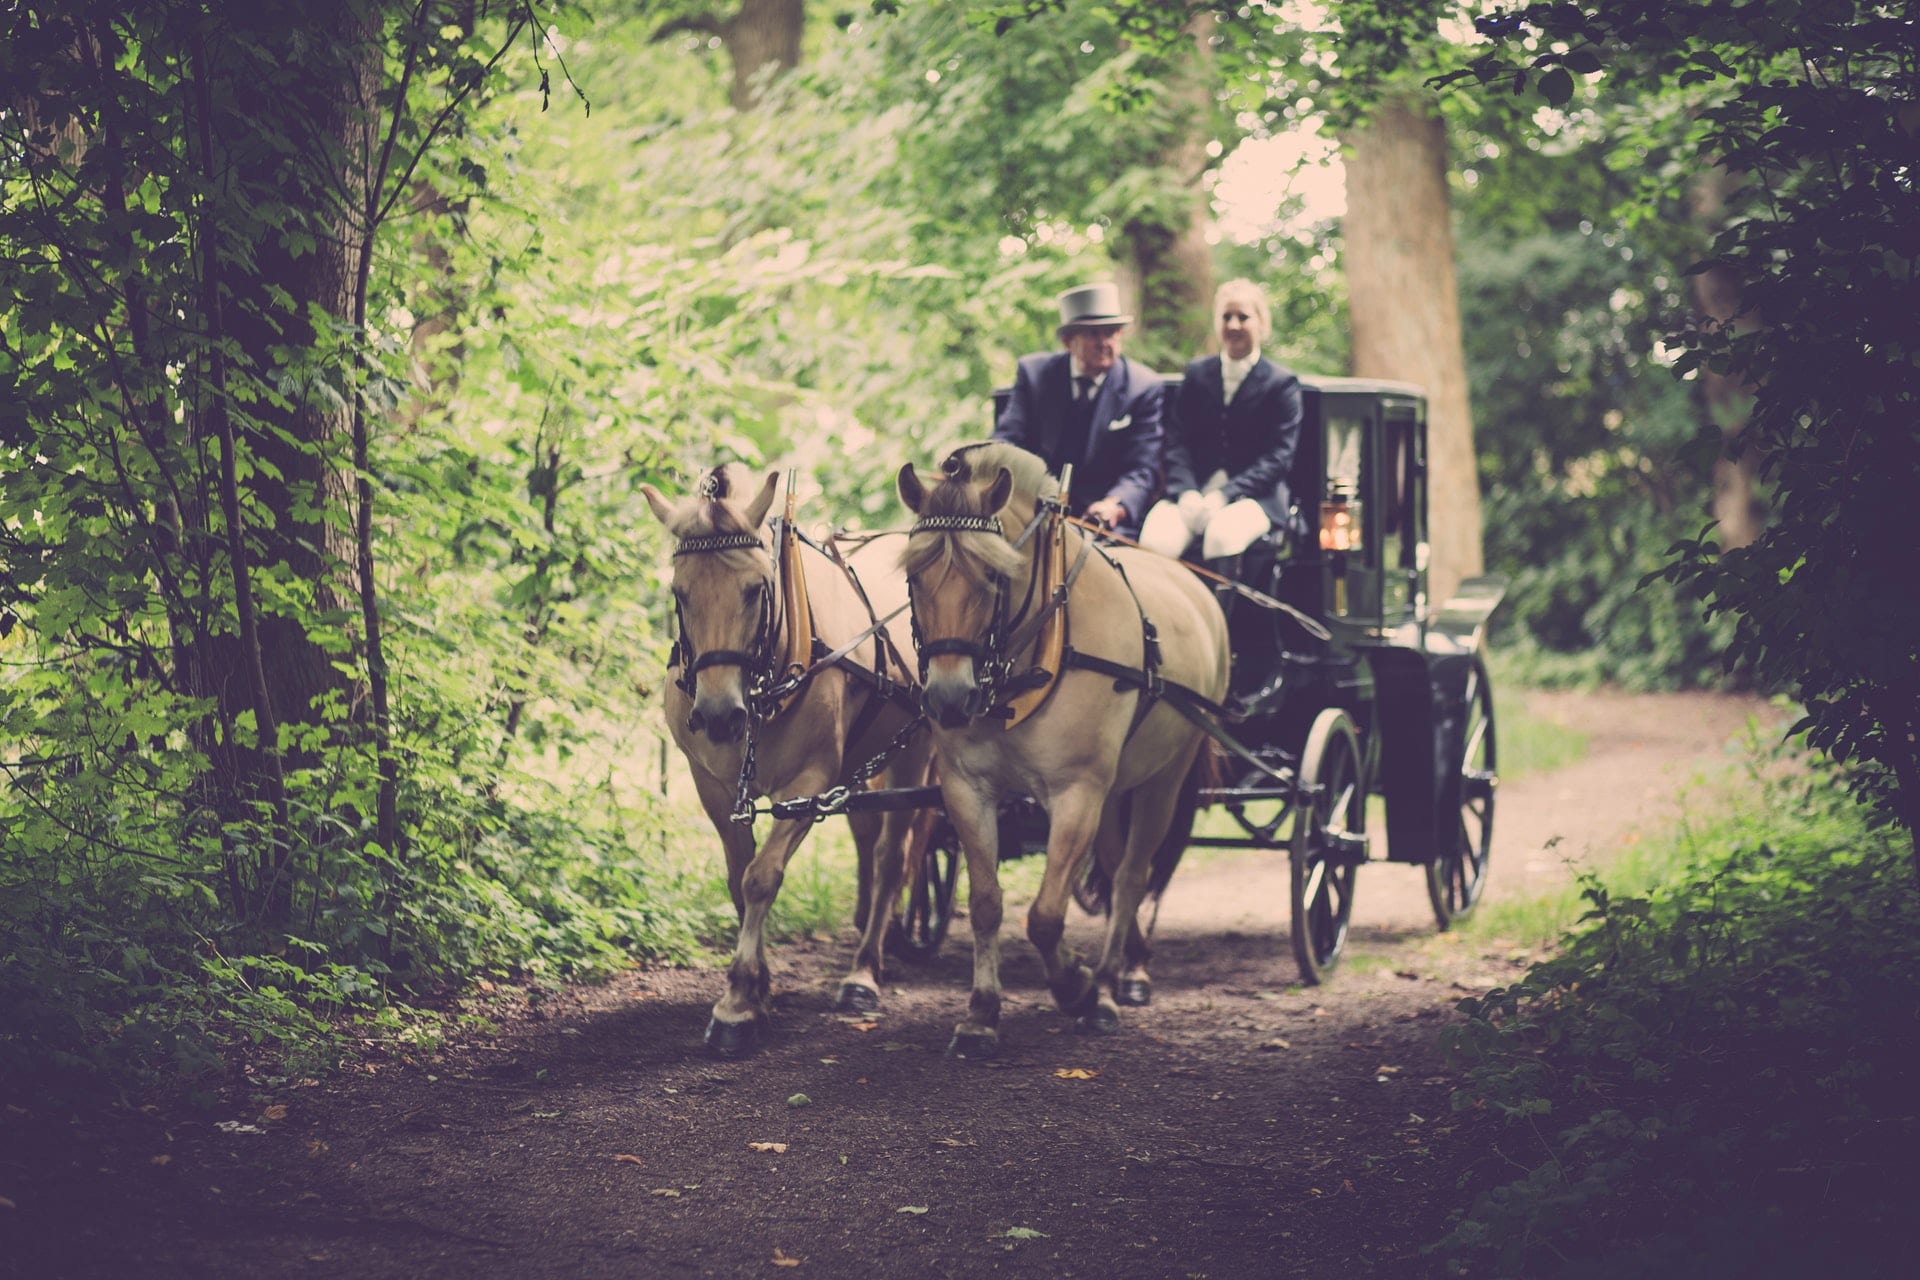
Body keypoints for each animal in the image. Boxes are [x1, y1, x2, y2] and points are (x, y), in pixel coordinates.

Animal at [641, 466, 933, 1059]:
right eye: (679, 592)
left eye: (756, 590)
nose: (719, 715)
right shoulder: (711, 785)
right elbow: (737, 878)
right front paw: (760, 989)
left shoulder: (808, 782)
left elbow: (761, 877)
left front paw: (737, 1004)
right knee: (868, 836)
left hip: (915, 751)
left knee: (892, 855)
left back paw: (864, 971)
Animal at [894, 445, 1228, 1059]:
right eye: (913, 574)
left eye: (994, 575)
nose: (950, 700)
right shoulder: (966, 789)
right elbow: (986, 903)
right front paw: (981, 1013)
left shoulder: (1077, 793)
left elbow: (1047, 916)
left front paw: (1078, 987)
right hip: (1117, 786)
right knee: (1118, 865)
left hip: (1163, 779)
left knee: (1132, 876)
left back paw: (1116, 979)